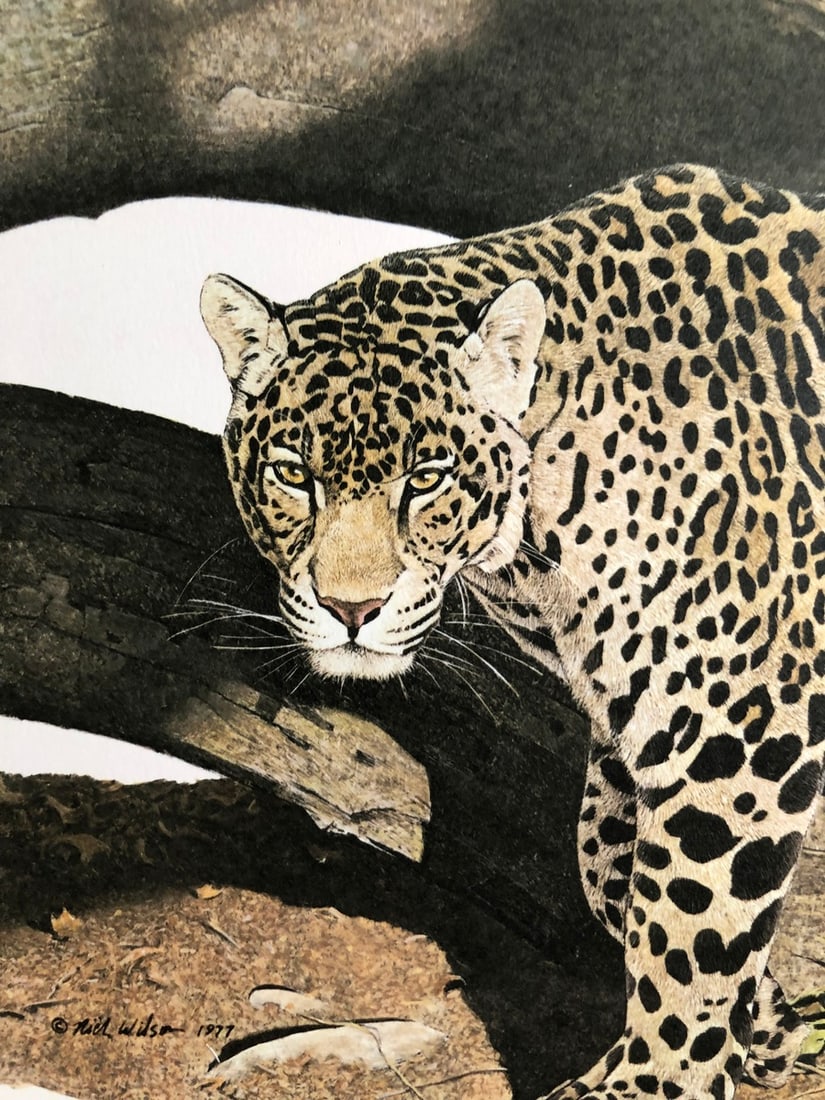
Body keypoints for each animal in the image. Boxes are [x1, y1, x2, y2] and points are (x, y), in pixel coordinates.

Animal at [199, 165, 825, 1100]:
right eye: (291, 474)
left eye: (427, 478)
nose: (351, 609)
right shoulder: (628, 714)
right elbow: (610, 866)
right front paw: (764, 1028)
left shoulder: (738, 727)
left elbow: (690, 917)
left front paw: (652, 1081)